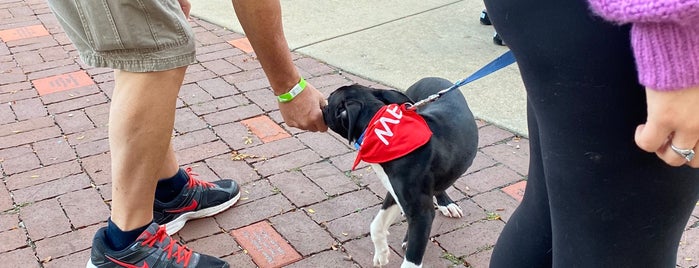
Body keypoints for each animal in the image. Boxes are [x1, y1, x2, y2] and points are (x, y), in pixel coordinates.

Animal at [324, 77, 478, 266]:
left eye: (329, 101)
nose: (321, 106)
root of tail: (432, 77)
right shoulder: (394, 191)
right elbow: (376, 225)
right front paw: (381, 254)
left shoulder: (420, 212)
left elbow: (411, 259)